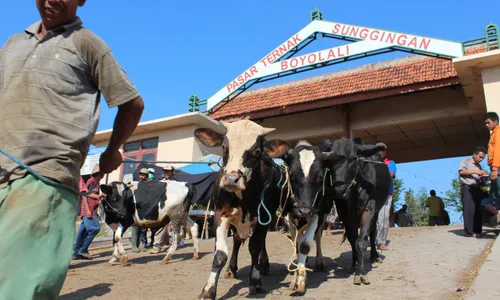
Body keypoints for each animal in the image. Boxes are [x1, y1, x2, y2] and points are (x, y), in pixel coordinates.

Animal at [194, 120, 290, 300]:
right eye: (224, 147)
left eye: (257, 151)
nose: (232, 179)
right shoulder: (221, 214)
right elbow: (220, 254)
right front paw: (208, 290)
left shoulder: (263, 217)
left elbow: (255, 248)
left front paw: (255, 281)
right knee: (237, 241)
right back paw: (231, 269)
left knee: (260, 243)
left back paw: (263, 264)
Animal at [280, 141, 334, 292]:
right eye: (291, 175)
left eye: (320, 177)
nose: (304, 210)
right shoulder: (288, 215)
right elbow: (298, 245)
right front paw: (297, 275)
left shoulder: (318, 214)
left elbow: (304, 245)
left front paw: (301, 280)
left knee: (317, 238)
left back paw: (319, 261)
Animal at [326, 137, 392, 284]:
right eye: (330, 161)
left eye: (353, 159)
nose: (339, 190)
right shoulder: (345, 215)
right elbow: (352, 240)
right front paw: (355, 265)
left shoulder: (369, 209)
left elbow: (361, 241)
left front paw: (361, 273)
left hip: (378, 210)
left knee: (373, 233)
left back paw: (374, 256)